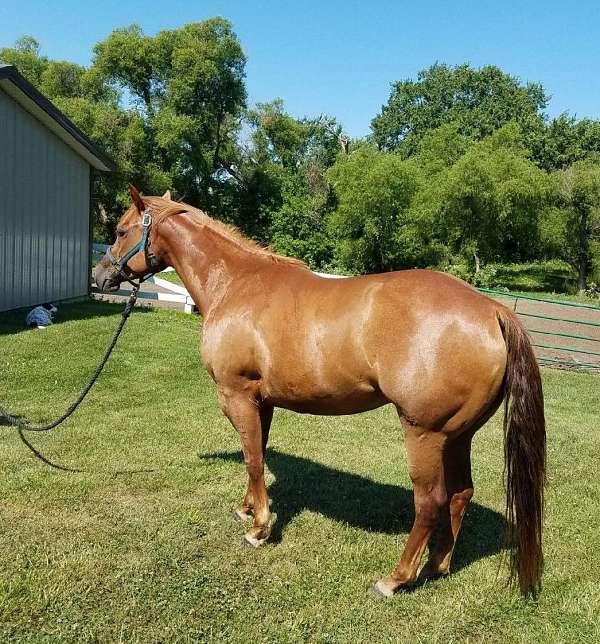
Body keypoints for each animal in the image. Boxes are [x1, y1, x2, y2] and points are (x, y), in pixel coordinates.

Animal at [96, 189, 548, 596]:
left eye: (120, 231)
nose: (101, 276)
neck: (236, 285)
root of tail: (492, 310)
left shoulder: (237, 395)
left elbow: (253, 459)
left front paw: (259, 528)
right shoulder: (262, 402)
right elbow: (256, 455)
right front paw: (247, 509)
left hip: (425, 433)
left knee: (431, 502)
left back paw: (396, 579)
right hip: (458, 436)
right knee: (460, 495)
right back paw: (437, 565)